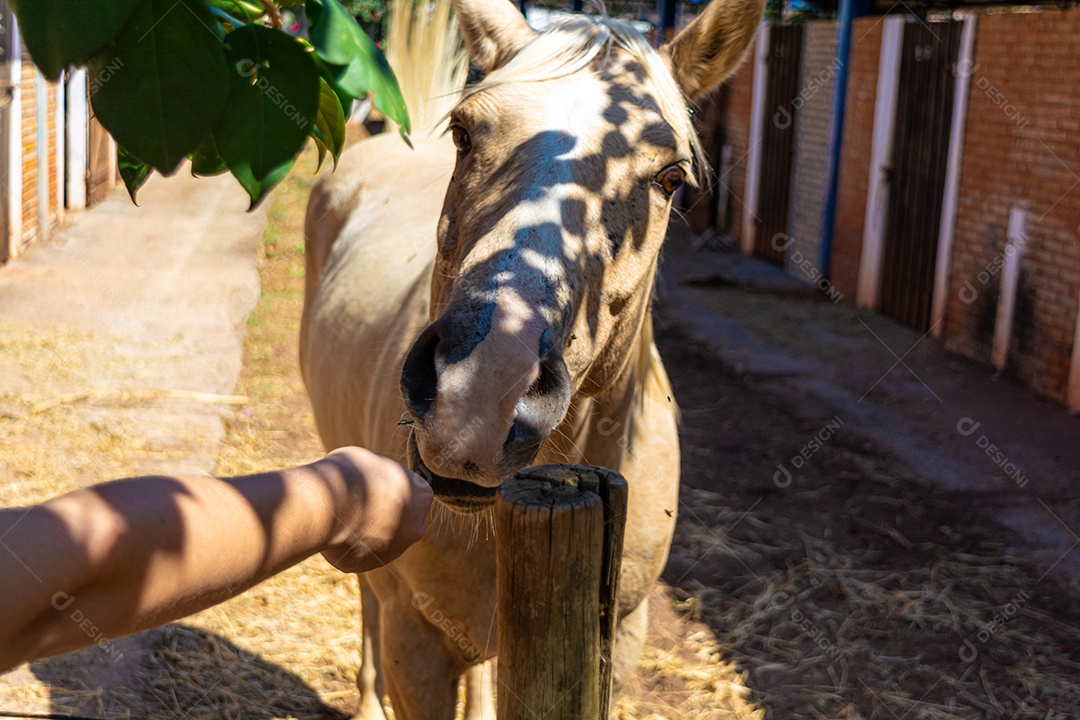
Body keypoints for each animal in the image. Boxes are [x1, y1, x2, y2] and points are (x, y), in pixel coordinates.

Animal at [300, 0, 764, 716]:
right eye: (463, 133)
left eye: (671, 177)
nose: (477, 397)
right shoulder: (416, 640)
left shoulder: (621, 641)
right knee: (367, 603)